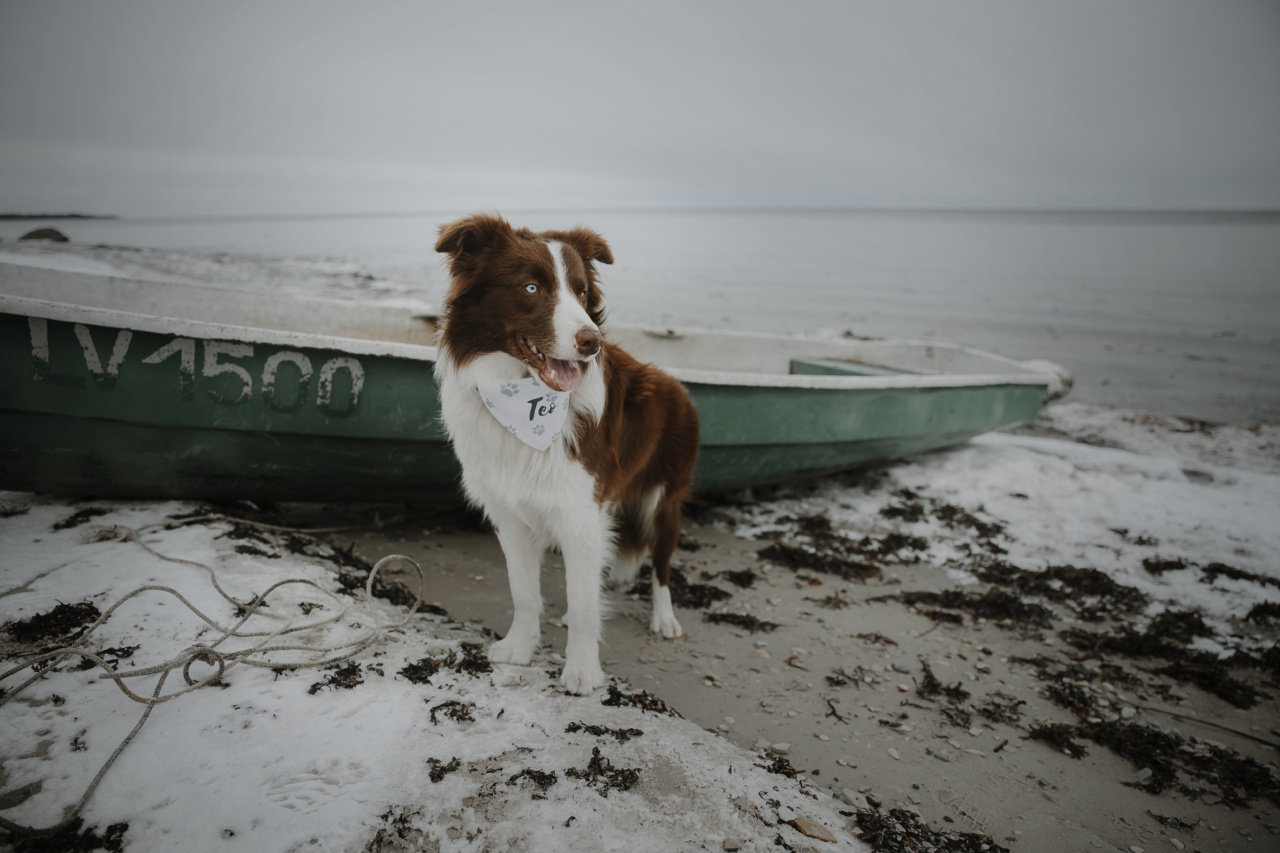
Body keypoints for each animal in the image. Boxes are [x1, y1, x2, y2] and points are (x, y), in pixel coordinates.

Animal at [437, 211, 701, 691]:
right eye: (530, 288)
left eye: (580, 292)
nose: (591, 341)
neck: (523, 402)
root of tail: (677, 385)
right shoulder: (509, 513)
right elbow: (524, 592)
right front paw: (520, 650)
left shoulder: (581, 513)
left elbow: (583, 606)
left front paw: (581, 671)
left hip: (665, 499)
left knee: (661, 565)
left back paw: (665, 618)